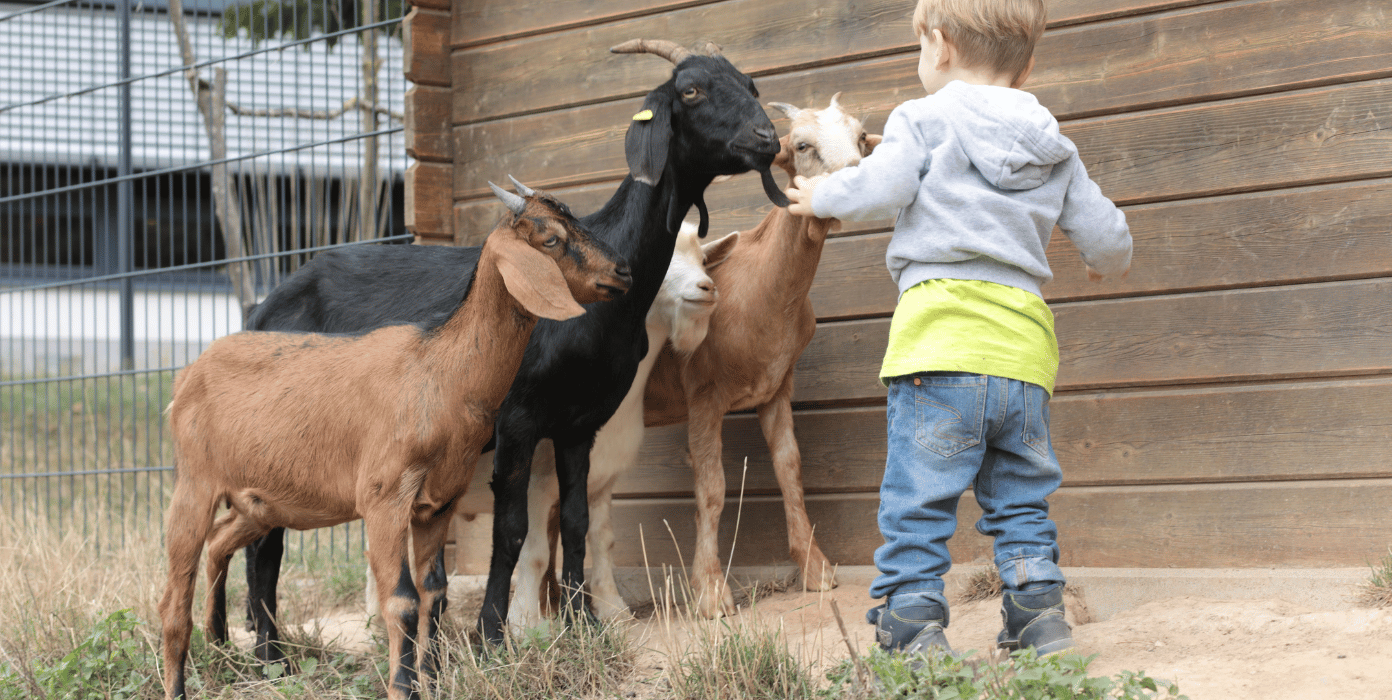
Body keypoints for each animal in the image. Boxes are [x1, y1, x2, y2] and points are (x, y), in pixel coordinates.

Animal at [158, 184, 630, 700]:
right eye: (551, 239)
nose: (622, 271)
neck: (438, 370)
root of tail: (187, 375)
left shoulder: (437, 503)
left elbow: (434, 591)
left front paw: (433, 678)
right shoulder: (384, 499)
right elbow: (401, 599)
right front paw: (404, 687)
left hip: (260, 501)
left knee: (220, 541)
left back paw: (221, 642)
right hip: (194, 483)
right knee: (174, 600)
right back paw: (192, 676)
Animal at [231, 39, 786, 645]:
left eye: (752, 85)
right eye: (691, 89)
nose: (767, 139)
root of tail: (263, 307)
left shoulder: (578, 425)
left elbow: (576, 520)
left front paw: (582, 623)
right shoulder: (517, 419)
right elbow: (513, 529)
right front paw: (493, 633)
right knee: (265, 539)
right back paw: (267, 647)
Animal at [641, 95, 880, 618]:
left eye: (860, 138)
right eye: (803, 145)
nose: (852, 182)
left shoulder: (777, 387)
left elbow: (790, 468)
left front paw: (816, 569)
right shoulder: (702, 394)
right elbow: (711, 489)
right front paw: (711, 594)